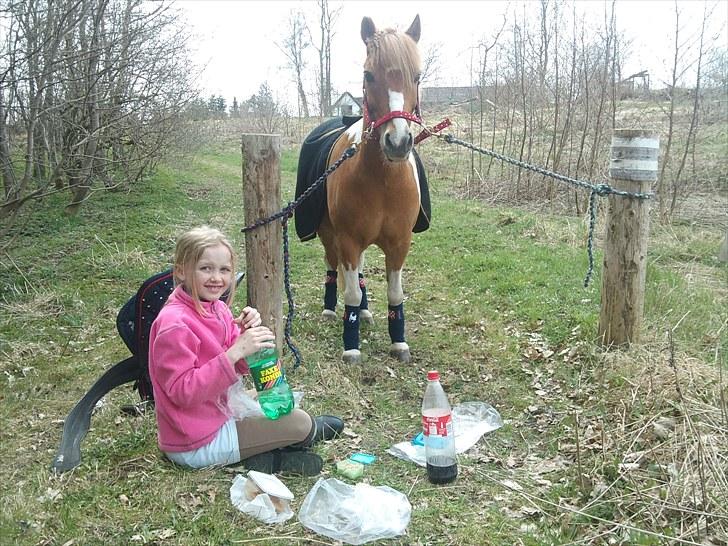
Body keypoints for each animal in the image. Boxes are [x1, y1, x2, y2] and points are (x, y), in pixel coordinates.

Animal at [318, 14, 424, 362]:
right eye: (368, 74)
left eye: (417, 76)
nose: (398, 142)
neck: (382, 183)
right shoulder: (348, 240)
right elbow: (350, 293)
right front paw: (351, 346)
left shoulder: (399, 244)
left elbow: (395, 293)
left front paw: (399, 342)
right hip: (329, 234)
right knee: (333, 266)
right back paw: (330, 310)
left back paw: (365, 312)